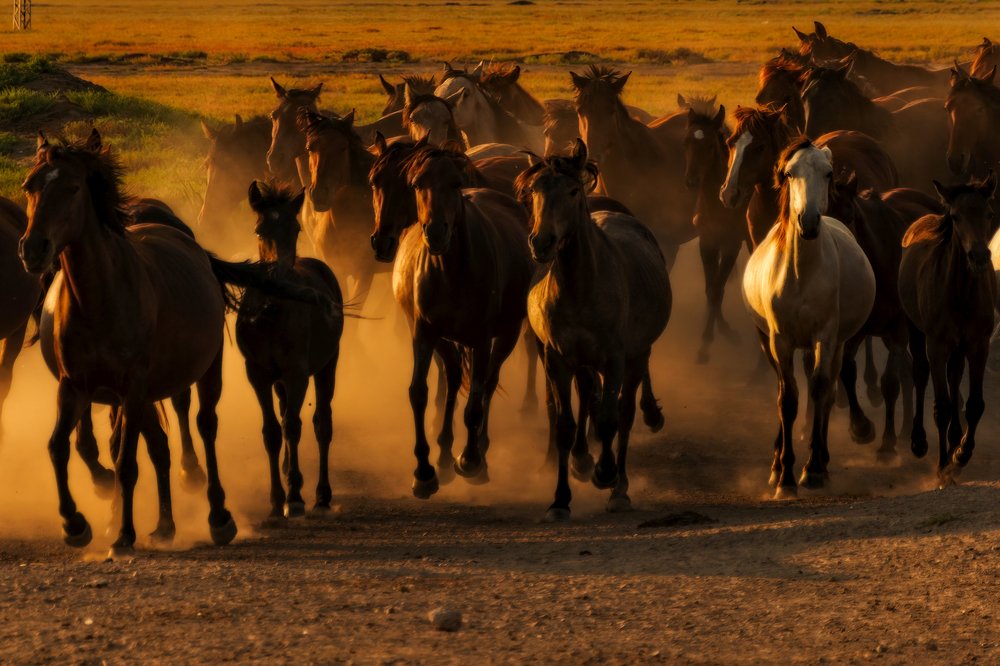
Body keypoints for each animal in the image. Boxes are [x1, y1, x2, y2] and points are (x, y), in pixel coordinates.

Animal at [236, 181, 343, 520]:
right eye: (259, 230)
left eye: (295, 229)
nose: (278, 276)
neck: (272, 311)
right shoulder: (257, 375)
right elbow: (272, 431)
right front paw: (275, 499)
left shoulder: (298, 374)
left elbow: (293, 427)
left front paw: (294, 497)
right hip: (280, 381)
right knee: (285, 414)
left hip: (327, 366)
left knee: (322, 423)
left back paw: (321, 495)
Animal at [392, 144, 535, 497]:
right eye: (418, 184)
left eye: (455, 183)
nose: (435, 232)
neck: (451, 273)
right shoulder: (424, 334)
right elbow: (419, 392)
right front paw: (424, 471)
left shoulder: (482, 339)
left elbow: (475, 403)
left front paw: (470, 460)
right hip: (446, 341)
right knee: (455, 377)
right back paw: (444, 455)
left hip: (507, 332)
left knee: (487, 384)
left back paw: (478, 451)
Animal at [516, 140, 671, 520]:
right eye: (534, 190)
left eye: (573, 191)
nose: (541, 242)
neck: (581, 286)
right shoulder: (559, 359)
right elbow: (565, 424)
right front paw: (560, 499)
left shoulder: (615, 359)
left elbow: (610, 419)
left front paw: (606, 475)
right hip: (583, 362)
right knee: (589, 397)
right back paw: (584, 460)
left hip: (635, 355)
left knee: (625, 414)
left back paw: (619, 484)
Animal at [743, 139, 875, 498]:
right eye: (790, 173)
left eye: (828, 173)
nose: (809, 222)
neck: (801, 272)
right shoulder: (780, 340)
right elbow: (787, 398)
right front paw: (785, 476)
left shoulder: (825, 337)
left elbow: (818, 390)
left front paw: (812, 469)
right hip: (769, 343)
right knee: (783, 388)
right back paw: (776, 465)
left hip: (837, 344)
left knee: (827, 392)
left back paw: (822, 462)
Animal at [898, 174, 996, 486]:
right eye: (955, 216)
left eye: (988, 213)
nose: (978, 256)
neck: (960, 292)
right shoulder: (937, 346)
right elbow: (940, 407)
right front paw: (943, 467)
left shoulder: (978, 345)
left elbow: (974, 404)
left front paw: (961, 454)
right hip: (916, 332)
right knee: (919, 373)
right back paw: (919, 443)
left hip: (959, 347)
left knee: (954, 378)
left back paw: (955, 442)